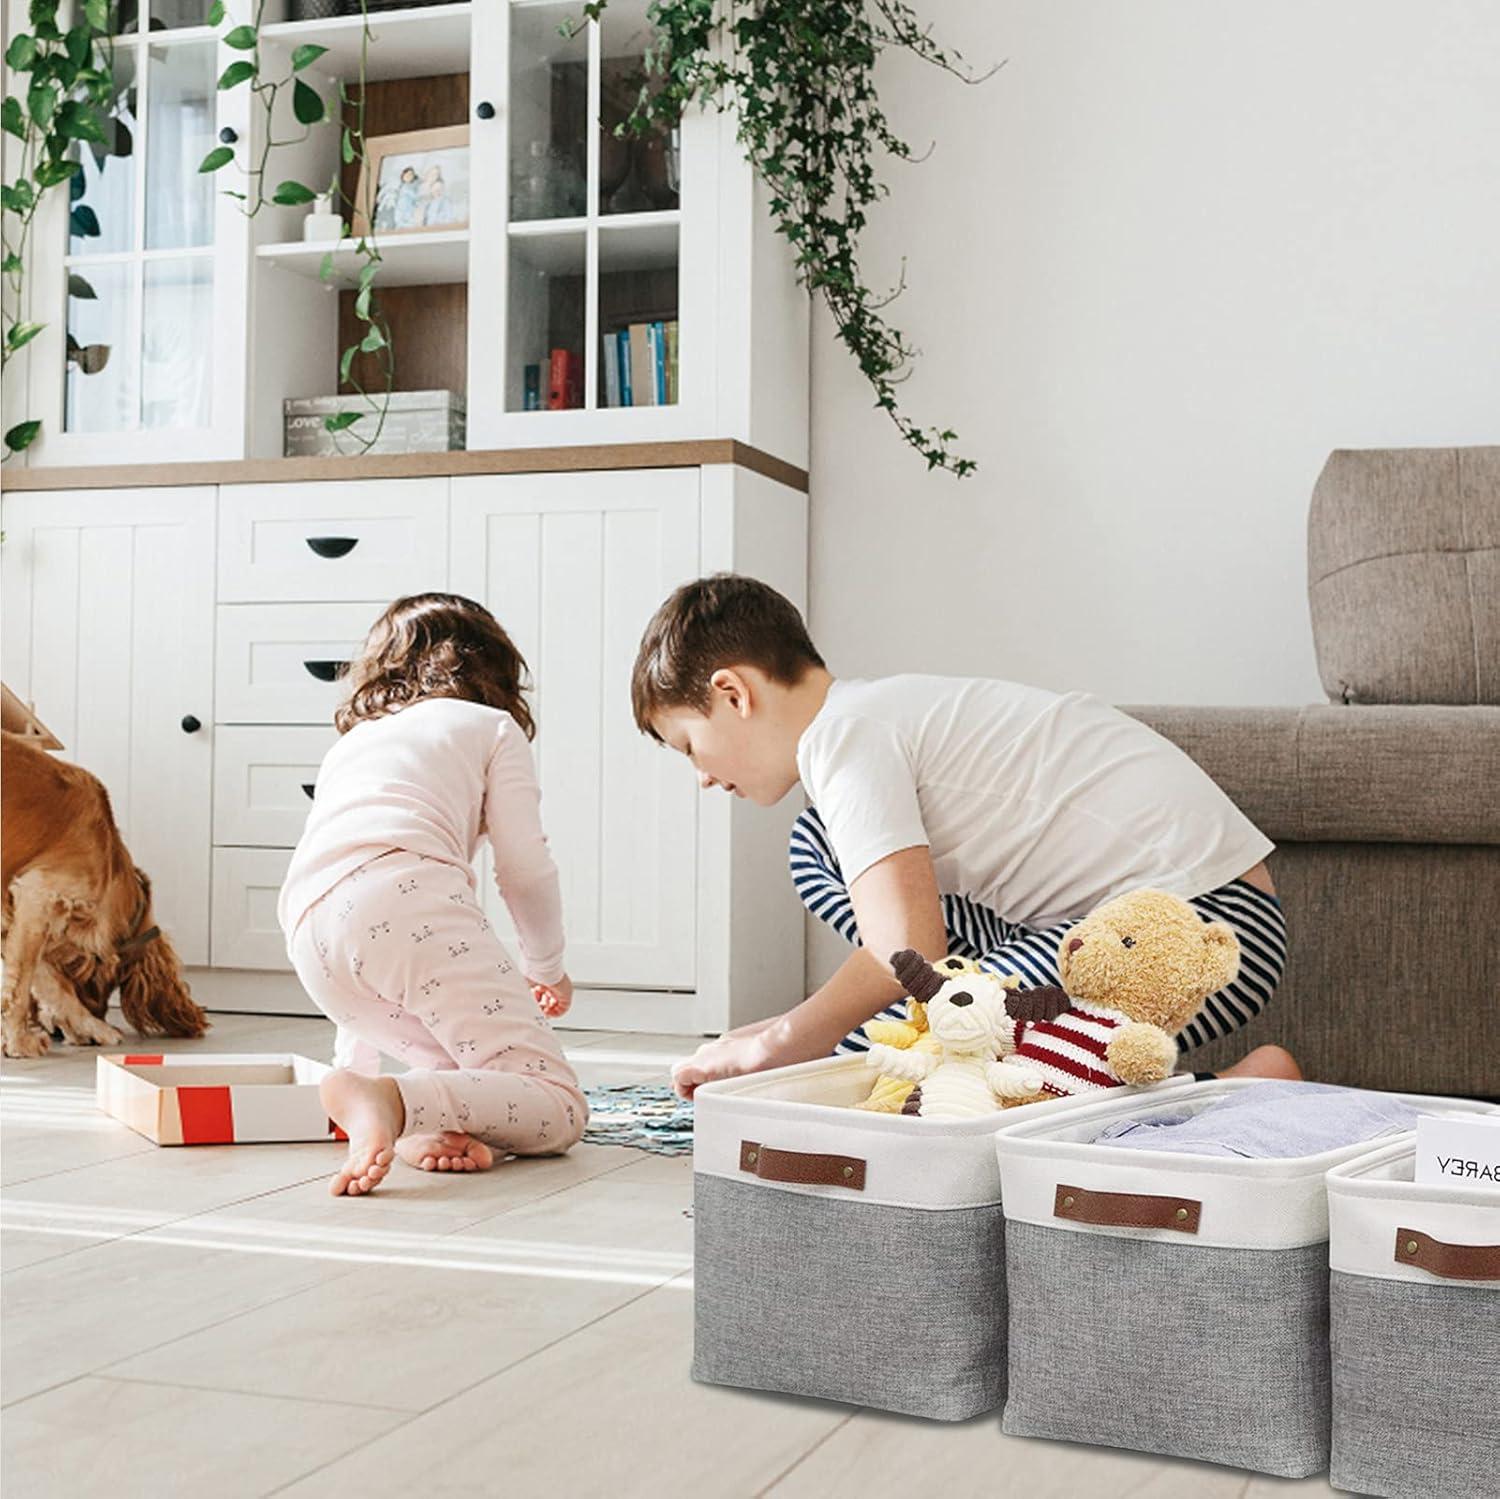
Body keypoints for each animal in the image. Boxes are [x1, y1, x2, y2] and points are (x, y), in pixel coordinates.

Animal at [0, 732, 208, 1062]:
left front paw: (91, 1027)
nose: (56, 1034)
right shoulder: (39, 895)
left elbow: (51, 982)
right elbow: (23, 983)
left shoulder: (17, 914)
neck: (110, 862)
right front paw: (20, 1041)